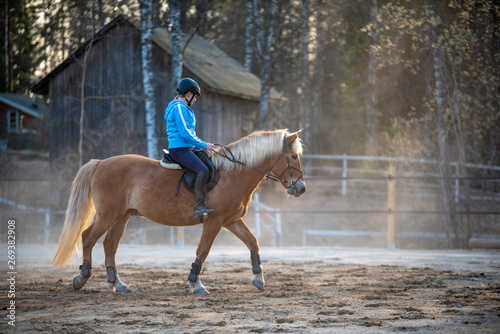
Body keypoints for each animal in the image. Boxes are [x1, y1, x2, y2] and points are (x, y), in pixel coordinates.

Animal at [53, 129, 304, 294]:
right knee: (88, 237)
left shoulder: (231, 220)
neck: (233, 174)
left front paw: (258, 278)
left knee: (109, 244)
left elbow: (253, 242)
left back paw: (118, 283)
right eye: (292, 157)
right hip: (109, 215)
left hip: (122, 216)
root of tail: (100, 162)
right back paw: (82, 278)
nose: (300, 188)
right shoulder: (214, 221)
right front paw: (195, 282)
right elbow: (203, 250)